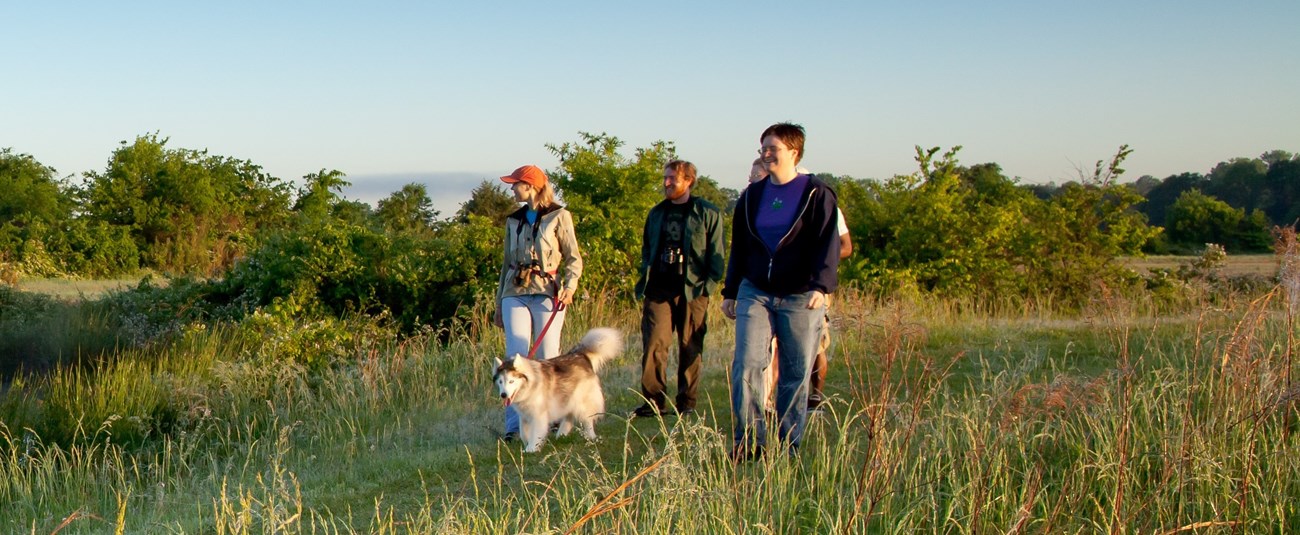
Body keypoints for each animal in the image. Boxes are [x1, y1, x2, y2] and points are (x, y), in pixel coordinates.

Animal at [491, 325, 624, 451]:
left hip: (582, 402)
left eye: (511, 381)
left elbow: (536, 433)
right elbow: (524, 433)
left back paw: (590, 436)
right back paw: (562, 434)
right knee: (569, 416)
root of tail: (580, 355)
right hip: (567, 398)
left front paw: (532, 448)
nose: (503, 395)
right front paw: (527, 445)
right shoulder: (524, 416)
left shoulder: (538, 415)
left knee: (587, 420)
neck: (529, 386)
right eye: (501, 382)